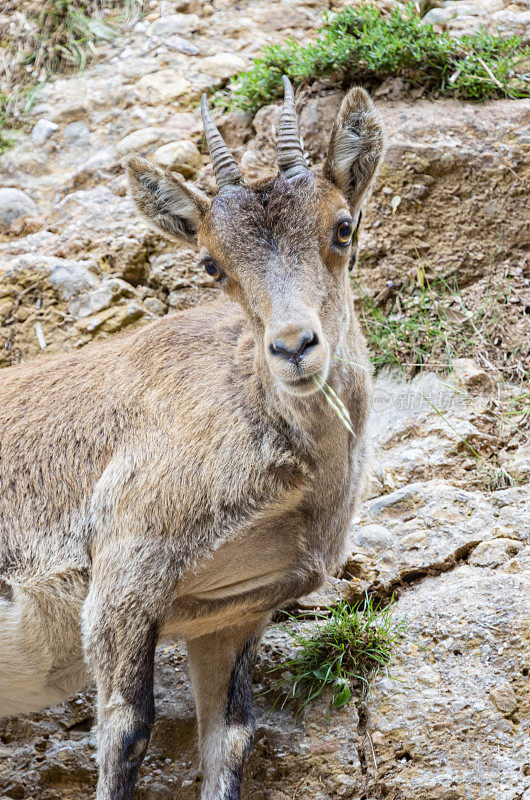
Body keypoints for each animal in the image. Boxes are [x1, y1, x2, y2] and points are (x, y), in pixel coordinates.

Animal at [0, 76, 382, 800]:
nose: (294, 348)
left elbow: (227, 744)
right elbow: (125, 734)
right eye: (211, 264)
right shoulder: (124, 575)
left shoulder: (228, 616)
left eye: (342, 227)